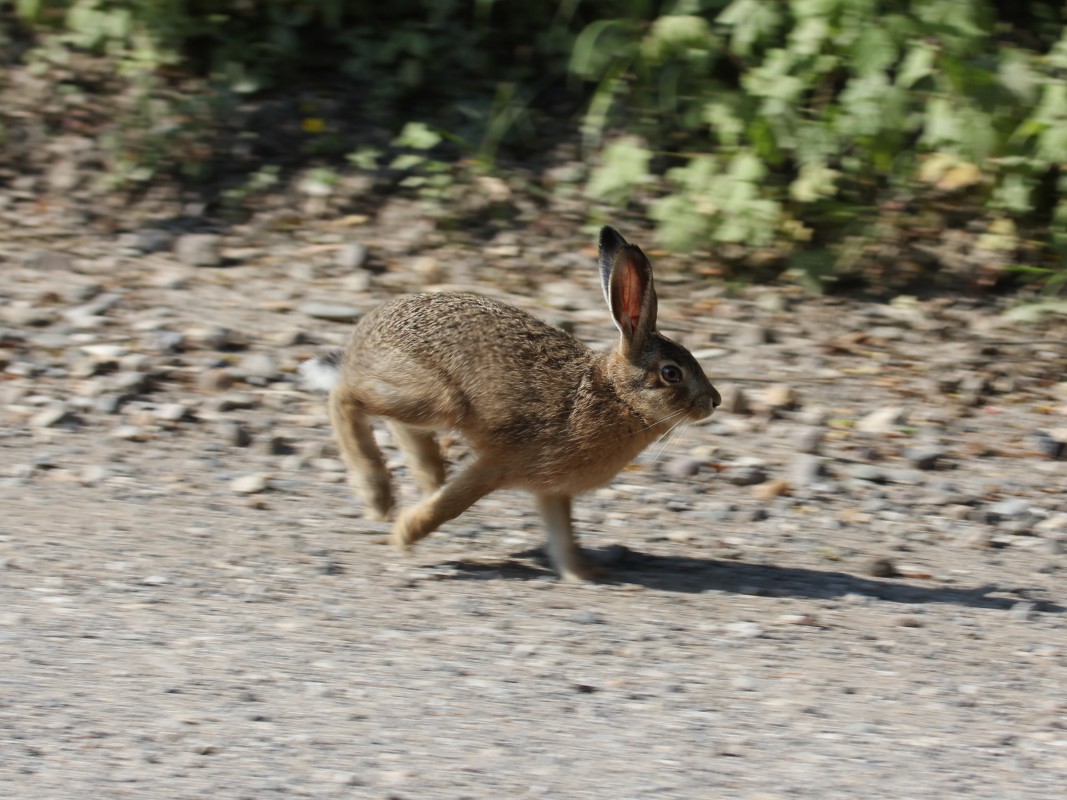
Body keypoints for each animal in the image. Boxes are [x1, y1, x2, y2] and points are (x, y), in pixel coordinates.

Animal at [300, 226, 721, 581]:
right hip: (438, 398)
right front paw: (405, 534)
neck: (615, 395)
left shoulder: (552, 488)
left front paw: (584, 574)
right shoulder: (501, 463)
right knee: (345, 397)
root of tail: (362, 339)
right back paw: (378, 495)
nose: (714, 401)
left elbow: (563, 535)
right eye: (671, 373)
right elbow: (451, 505)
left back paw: (429, 475)